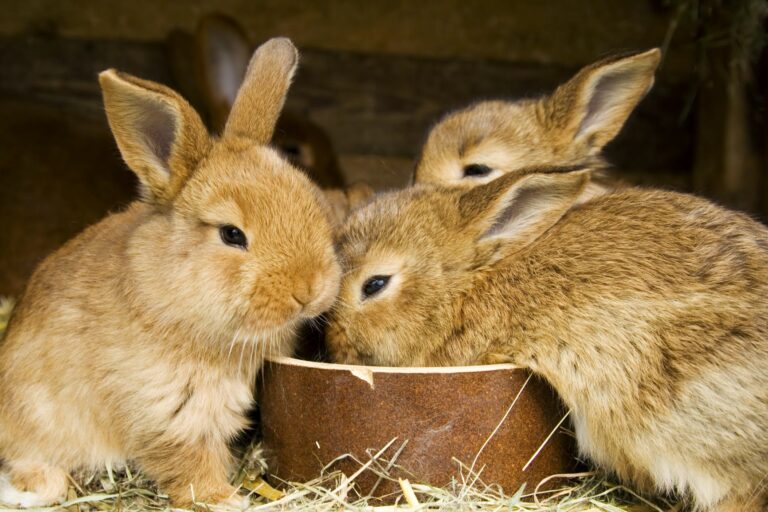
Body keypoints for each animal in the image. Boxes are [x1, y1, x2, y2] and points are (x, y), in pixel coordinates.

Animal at [0, 37, 342, 508]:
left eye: (311, 201)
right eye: (232, 234)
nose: (310, 290)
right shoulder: (169, 410)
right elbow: (190, 462)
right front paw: (224, 499)